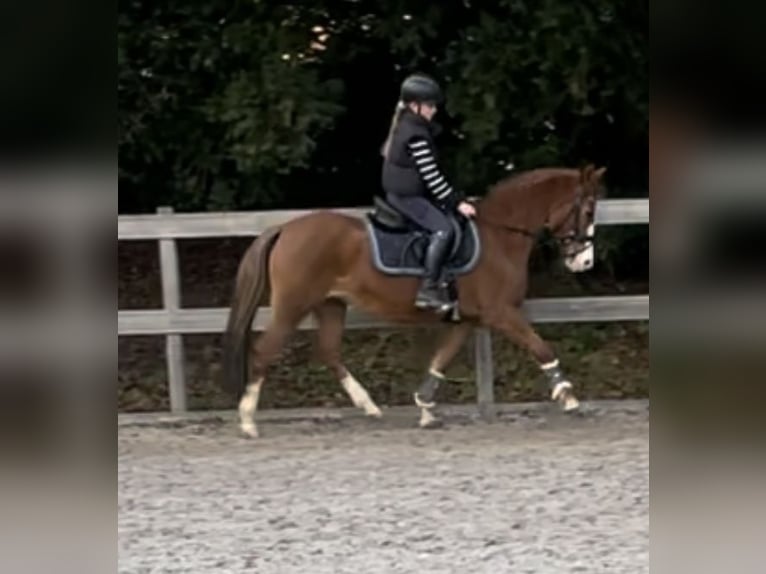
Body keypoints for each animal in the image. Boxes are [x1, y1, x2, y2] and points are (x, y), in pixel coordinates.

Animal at [225, 164, 608, 438]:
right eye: (588, 210)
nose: (585, 262)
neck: (499, 236)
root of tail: (286, 229)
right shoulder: (501, 313)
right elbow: (540, 347)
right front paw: (569, 397)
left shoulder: (467, 319)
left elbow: (440, 360)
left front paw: (425, 408)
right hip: (292, 306)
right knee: (265, 351)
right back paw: (247, 420)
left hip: (330, 304)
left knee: (330, 351)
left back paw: (369, 406)